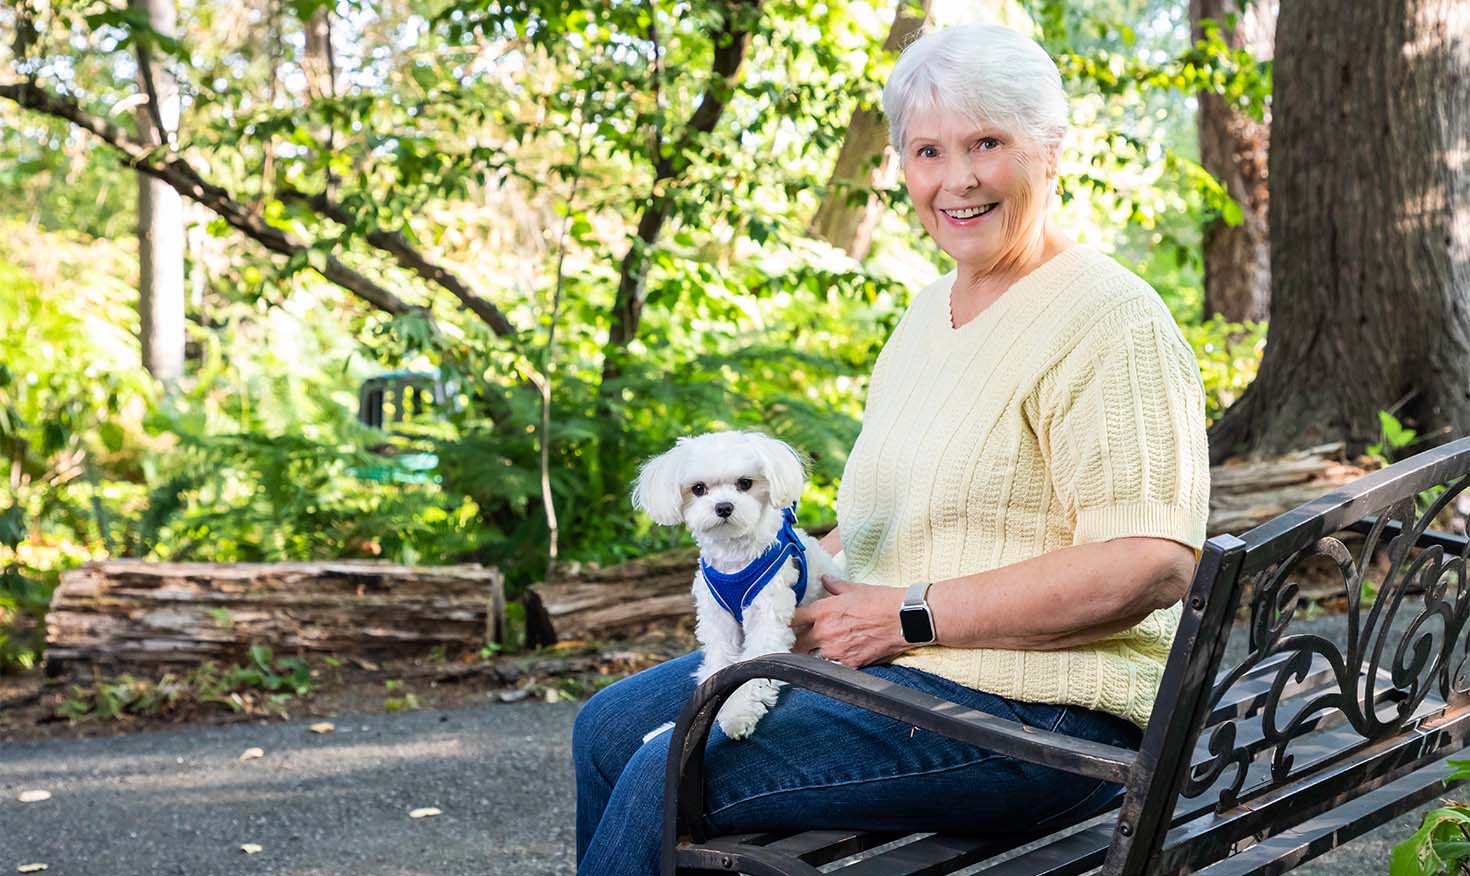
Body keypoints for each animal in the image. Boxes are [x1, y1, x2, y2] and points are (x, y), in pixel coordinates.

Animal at [629, 432, 840, 737]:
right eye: (699, 488)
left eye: (745, 483)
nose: (724, 506)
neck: (734, 558)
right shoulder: (719, 623)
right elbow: (718, 667)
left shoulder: (767, 616)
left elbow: (753, 673)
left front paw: (738, 714)